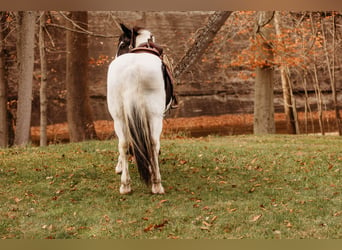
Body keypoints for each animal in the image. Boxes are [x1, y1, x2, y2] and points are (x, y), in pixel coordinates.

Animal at [107, 23, 172, 194]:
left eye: (122, 44)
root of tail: (132, 69)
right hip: (154, 115)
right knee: (153, 143)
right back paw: (156, 183)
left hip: (119, 116)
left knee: (123, 143)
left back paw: (125, 185)